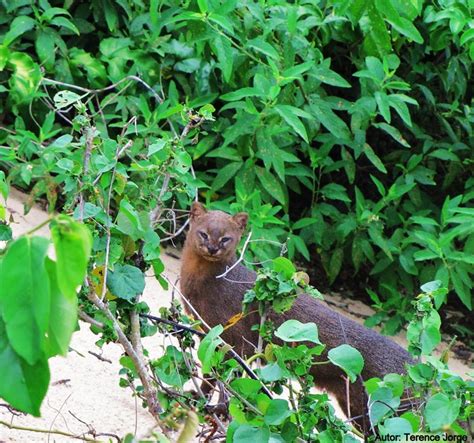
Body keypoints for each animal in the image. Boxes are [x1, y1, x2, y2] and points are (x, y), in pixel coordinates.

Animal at [180, 203, 412, 428]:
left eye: (225, 238)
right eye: (203, 234)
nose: (212, 248)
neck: (200, 288)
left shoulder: (236, 338)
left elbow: (228, 379)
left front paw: (219, 410)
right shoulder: (209, 335)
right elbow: (211, 373)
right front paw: (196, 397)